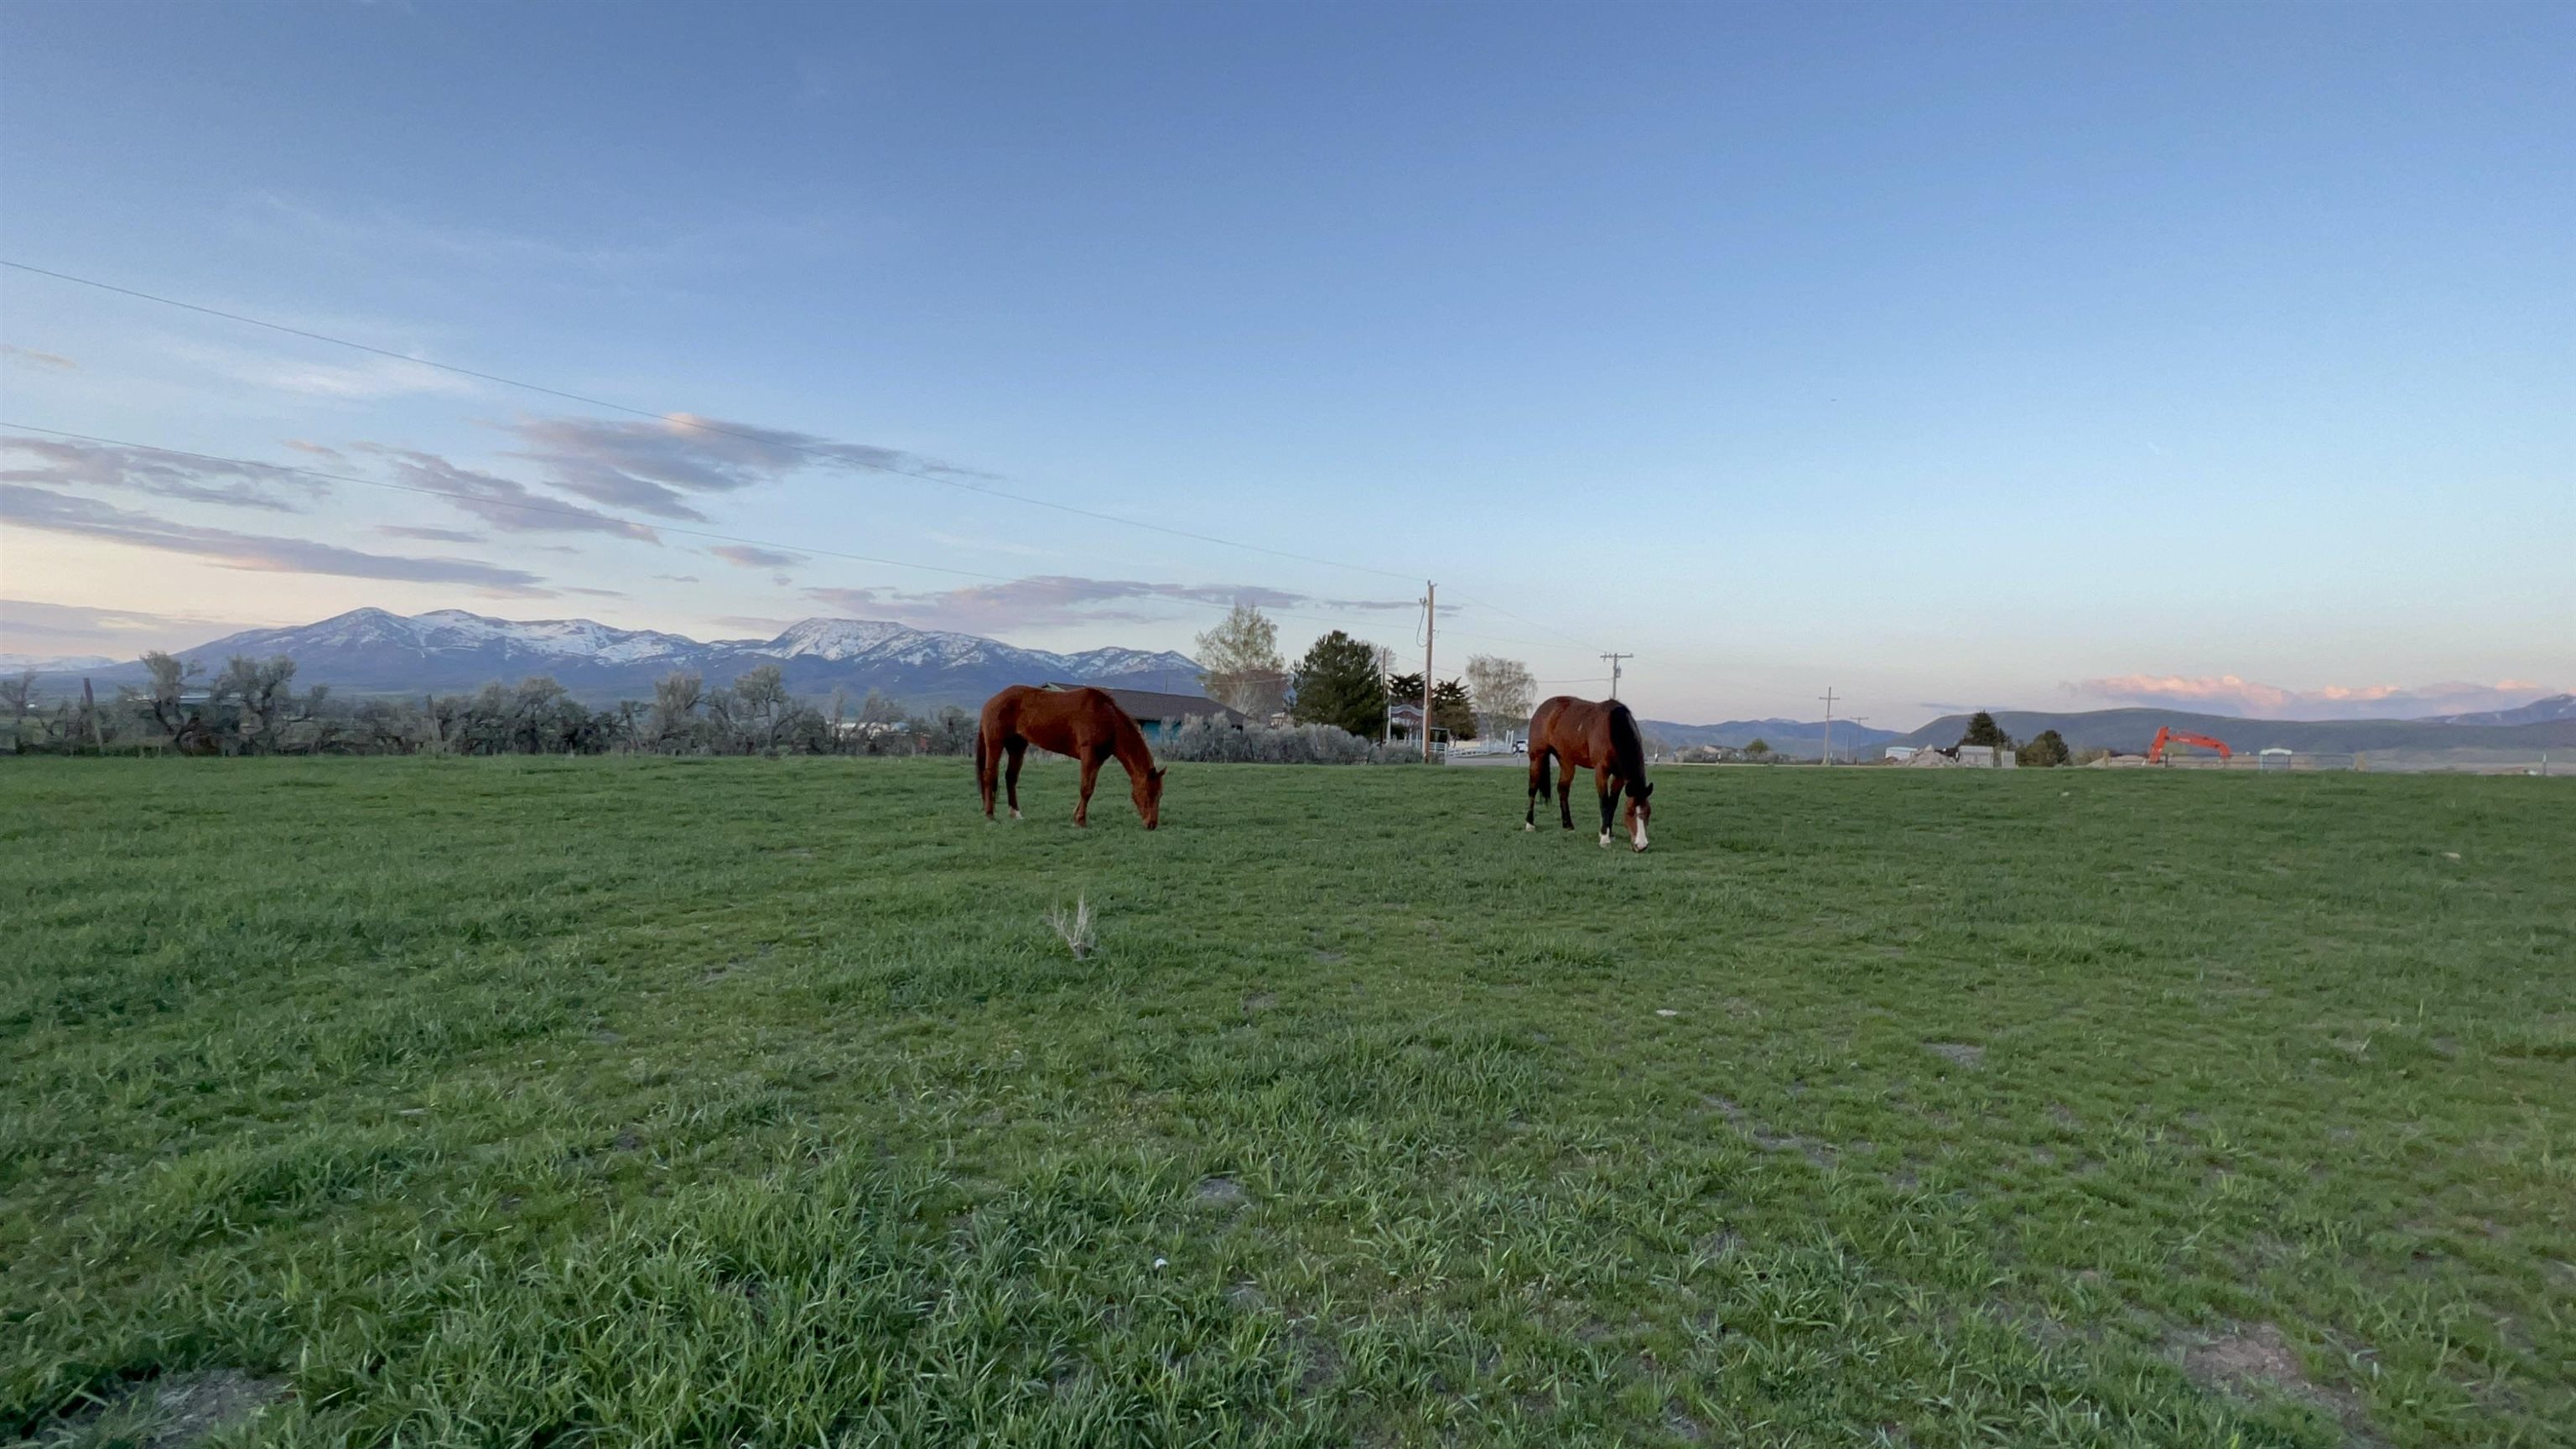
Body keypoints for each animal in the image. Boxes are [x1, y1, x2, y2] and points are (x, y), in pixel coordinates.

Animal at [969, 685, 1164, 830]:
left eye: (1160, 794)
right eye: (1149, 792)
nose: (1151, 824)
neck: (1106, 718)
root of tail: (991, 702)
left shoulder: (1098, 760)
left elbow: (1089, 789)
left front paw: (1076, 816)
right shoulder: (1088, 755)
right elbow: (1086, 789)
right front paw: (1080, 821)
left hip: (1017, 746)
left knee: (1011, 777)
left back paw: (1015, 813)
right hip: (995, 743)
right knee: (989, 775)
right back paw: (990, 815)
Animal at [1524, 691, 1649, 845]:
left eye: (1648, 812)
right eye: (1629, 812)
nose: (1641, 845)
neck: (1613, 728)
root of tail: (1542, 709)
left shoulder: (1619, 776)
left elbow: (1612, 804)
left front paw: (1609, 833)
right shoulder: (1601, 771)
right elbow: (1604, 802)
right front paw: (1604, 838)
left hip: (1567, 762)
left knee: (1562, 789)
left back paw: (1568, 825)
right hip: (1537, 758)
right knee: (1532, 789)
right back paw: (1530, 824)